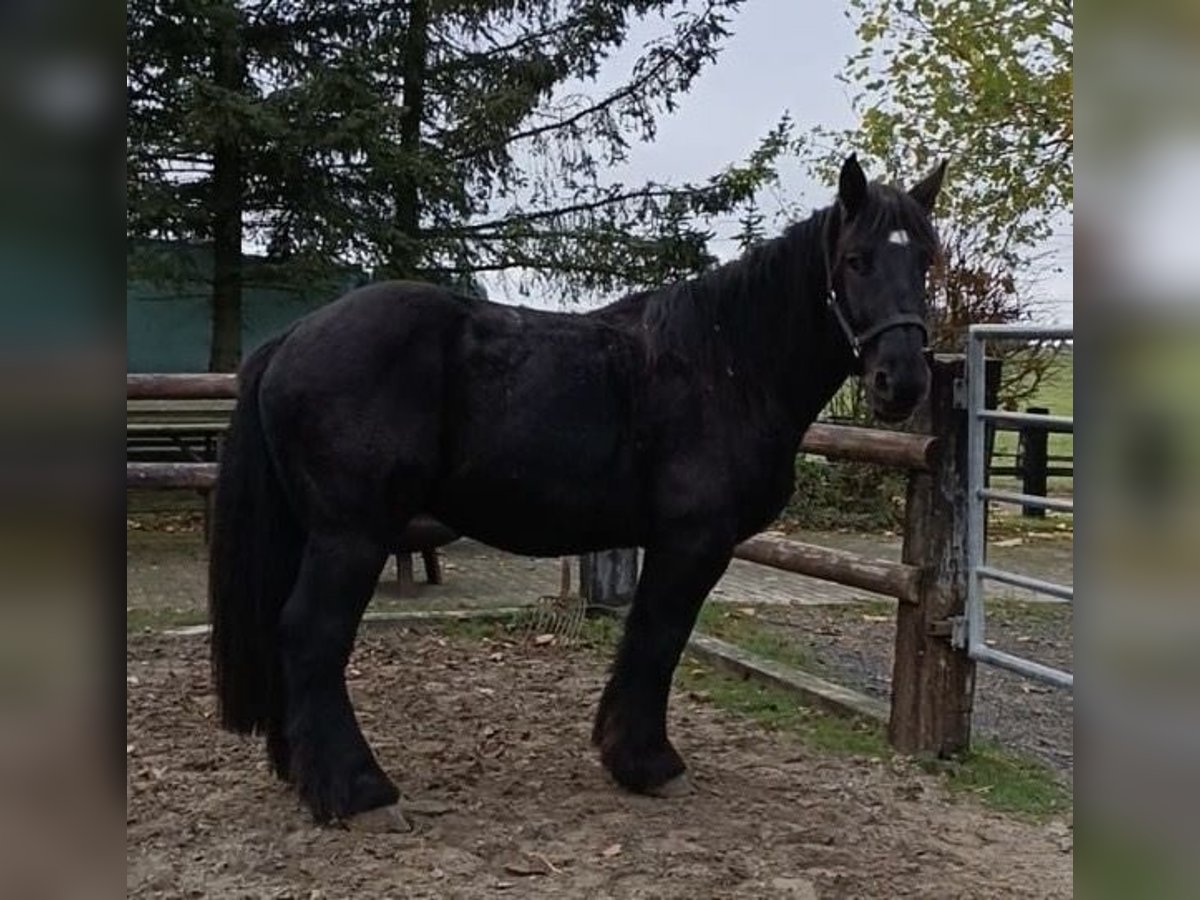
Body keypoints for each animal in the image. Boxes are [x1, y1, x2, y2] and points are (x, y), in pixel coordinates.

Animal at [213, 153, 945, 825]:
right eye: (856, 260)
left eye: (926, 262)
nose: (903, 381)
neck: (725, 364)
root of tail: (291, 338)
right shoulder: (692, 544)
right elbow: (657, 640)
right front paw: (648, 763)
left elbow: (646, 641)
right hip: (351, 536)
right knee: (311, 634)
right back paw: (359, 791)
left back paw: (301, 771)